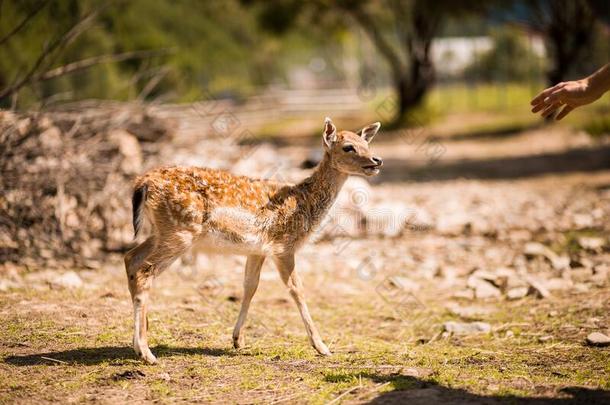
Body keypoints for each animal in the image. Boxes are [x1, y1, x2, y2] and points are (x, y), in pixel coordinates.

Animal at [123, 117, 380, 362]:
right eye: (348, 147)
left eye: (366, 143)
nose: (376, 160)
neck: (303, 202)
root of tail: (143, 183)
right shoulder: (283, 245)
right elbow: (296, 289)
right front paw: (322, 347)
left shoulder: (256, 250)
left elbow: (250, 286)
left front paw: (238, 340)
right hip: (180, 231)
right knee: (145, 270)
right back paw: (146, 352)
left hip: (161, 231)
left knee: (131, 259)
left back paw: (138, 343)